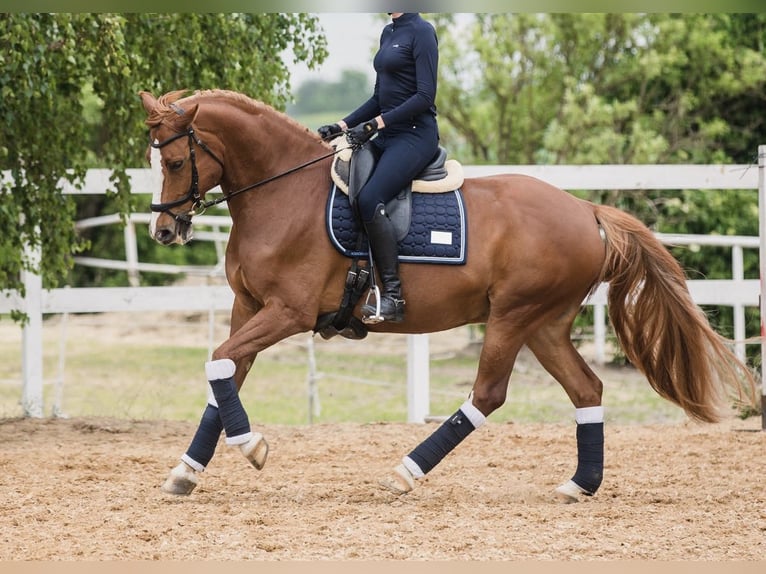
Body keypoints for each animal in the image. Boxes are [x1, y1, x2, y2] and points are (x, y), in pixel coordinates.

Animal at [140, 88, 756, 502]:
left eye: (174, 161)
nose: (165, 232)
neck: (282, 193)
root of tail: (586, 210)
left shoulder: (286, 312)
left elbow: (221, 363)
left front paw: (253, 448)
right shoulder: (248, 308)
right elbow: (224, 373)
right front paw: (186, 471)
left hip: (512, 317)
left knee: (488, 395)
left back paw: (405, 472)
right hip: (545, 325)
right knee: (587, 388)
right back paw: (580, 484)